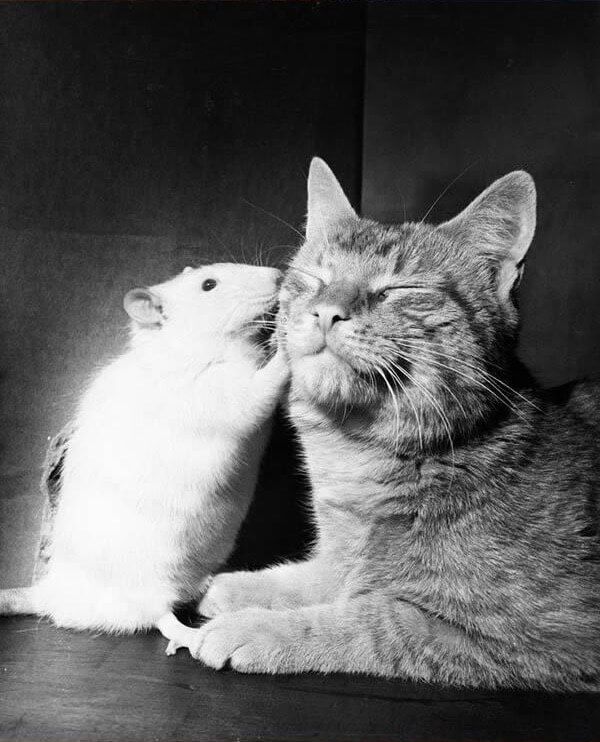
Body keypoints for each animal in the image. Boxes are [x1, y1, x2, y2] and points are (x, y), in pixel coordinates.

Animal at [186, 157, 596, 692]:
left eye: (399, 290)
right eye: (314, 279)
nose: (325, 311)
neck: (355, 459)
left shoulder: (530, 636)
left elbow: (369, 619)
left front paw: (257, 627)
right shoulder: (340, 561)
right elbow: (319, 577)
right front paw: (244, 587)